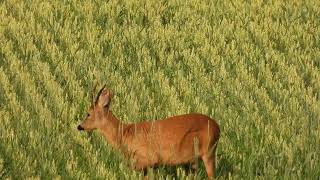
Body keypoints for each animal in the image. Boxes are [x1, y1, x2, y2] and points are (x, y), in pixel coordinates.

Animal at [77, 86, 220, 179]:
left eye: (88, 114)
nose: (80, 126)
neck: (123, 134)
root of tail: (218, 127)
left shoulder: (147, 160)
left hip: (208, 151)